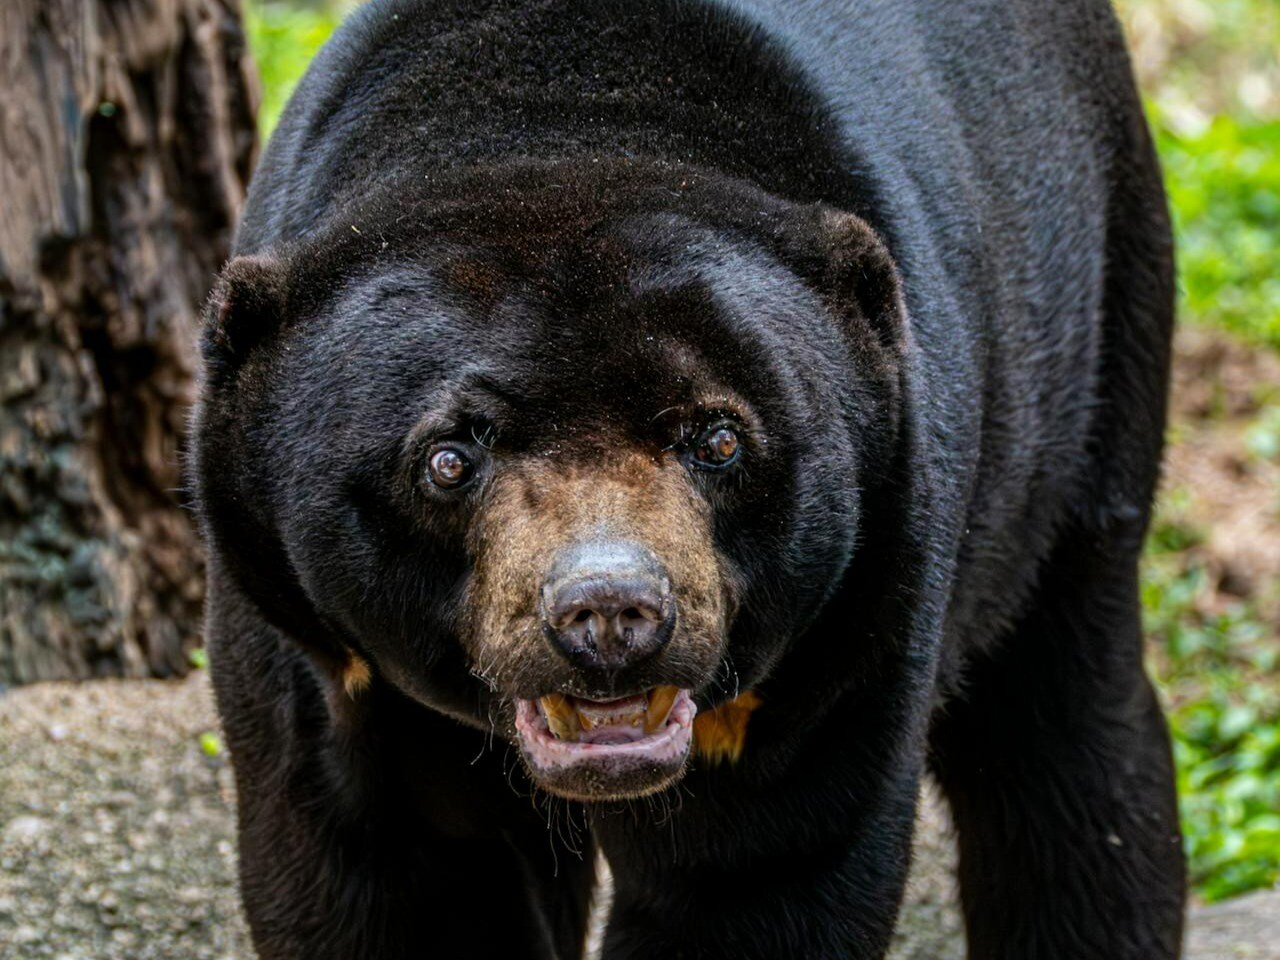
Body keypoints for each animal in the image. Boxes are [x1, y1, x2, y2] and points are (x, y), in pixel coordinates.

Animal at [191, 0, 1187, 957]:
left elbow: (761, 876)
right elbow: (382, 875)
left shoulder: (855, 618)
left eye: (718, 440)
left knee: (1065, 742)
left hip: (1096, 358)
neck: (563, 122)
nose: (609, 613)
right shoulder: (304, 635)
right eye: (448, 459)